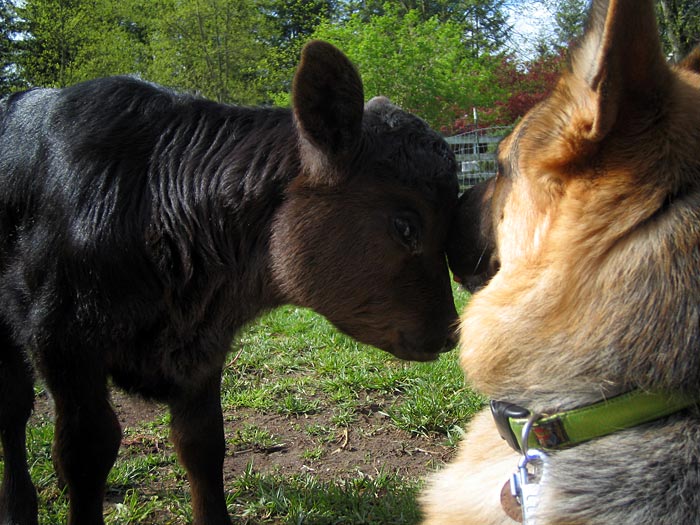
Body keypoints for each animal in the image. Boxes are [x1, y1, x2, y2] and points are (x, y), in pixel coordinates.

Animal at [0, 40, 460, 525]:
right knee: (13, 410)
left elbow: (202, 444)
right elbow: (86, 450)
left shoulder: (203, 350)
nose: (450, 332)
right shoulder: (60, 341)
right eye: (406, 226)